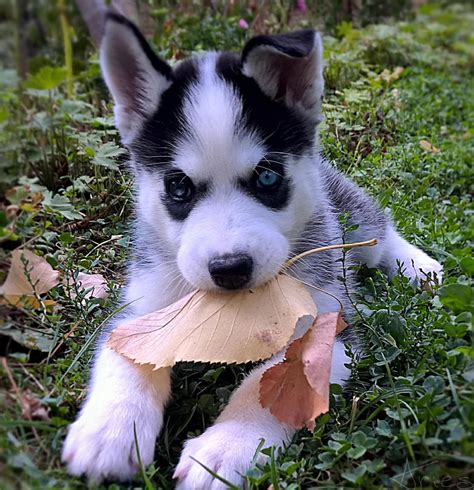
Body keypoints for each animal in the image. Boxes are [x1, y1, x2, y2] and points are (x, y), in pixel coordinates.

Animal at [61, 12, 442, 490]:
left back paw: (419, 266)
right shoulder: (144, 302)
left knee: (379, 232)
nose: (230, 269)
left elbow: (274, 384)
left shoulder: (329, 323)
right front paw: (108, 430)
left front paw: (226, 446)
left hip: (348, 222)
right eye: (178, 187)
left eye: (267, 177)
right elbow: (126, 355)